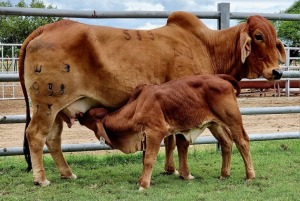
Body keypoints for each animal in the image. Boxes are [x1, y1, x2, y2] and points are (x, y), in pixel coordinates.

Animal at [78, 74, 255, 191]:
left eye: (90, 115)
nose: (78, 115)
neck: (136, 107)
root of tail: (221, 78)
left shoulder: (155, 133)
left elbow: (149, 159)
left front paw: (144, 185)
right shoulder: (145, 136)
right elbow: (144, 159)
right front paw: (141, 180)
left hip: (232, 120)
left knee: (242, 141)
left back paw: (250, 176)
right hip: (214, 124)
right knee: (226, 142)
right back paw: (224, 174)